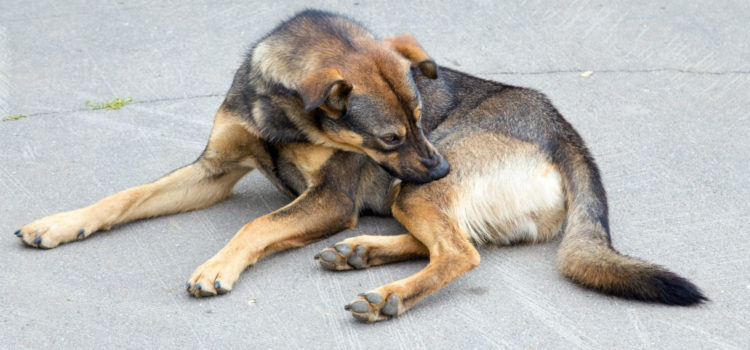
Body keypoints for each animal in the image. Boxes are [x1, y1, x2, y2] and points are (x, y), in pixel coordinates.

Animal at [19, 10, 712, 322]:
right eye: (390, 136)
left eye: (421, 116)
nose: (437, 167)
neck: (284, 116)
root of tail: (567, 133)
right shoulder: (212, 170)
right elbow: (125, 196)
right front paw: (60, 223)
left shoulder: (330, 200)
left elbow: (255, 225)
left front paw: (218, 267)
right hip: (414, 196)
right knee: (448, 241)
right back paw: (362, 254)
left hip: (416, 195)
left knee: (460, 252)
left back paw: (387, 293)